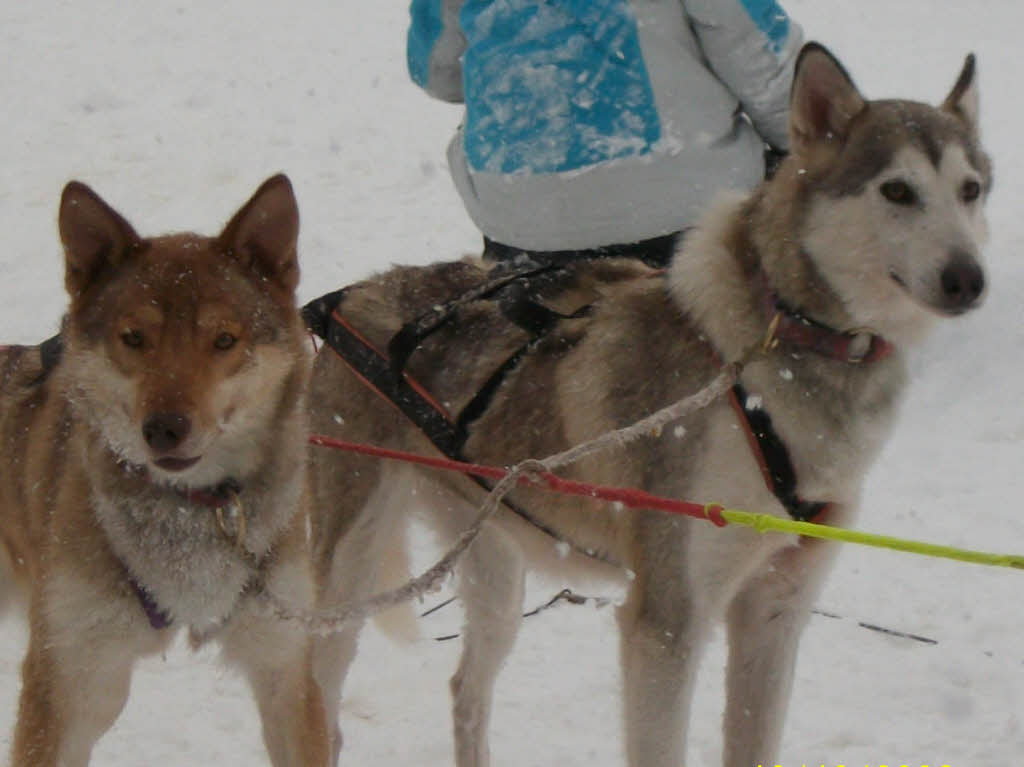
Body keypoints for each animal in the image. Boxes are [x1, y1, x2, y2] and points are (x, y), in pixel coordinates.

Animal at [307, 46, 987, 765]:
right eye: (897, 190)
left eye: (971, 189)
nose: (969, 278)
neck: (778, 355)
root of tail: (360, 291)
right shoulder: (667, 624)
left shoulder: (775, 613)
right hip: (348, 579)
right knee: (317, 701)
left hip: (496, 568)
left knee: (466, 685)